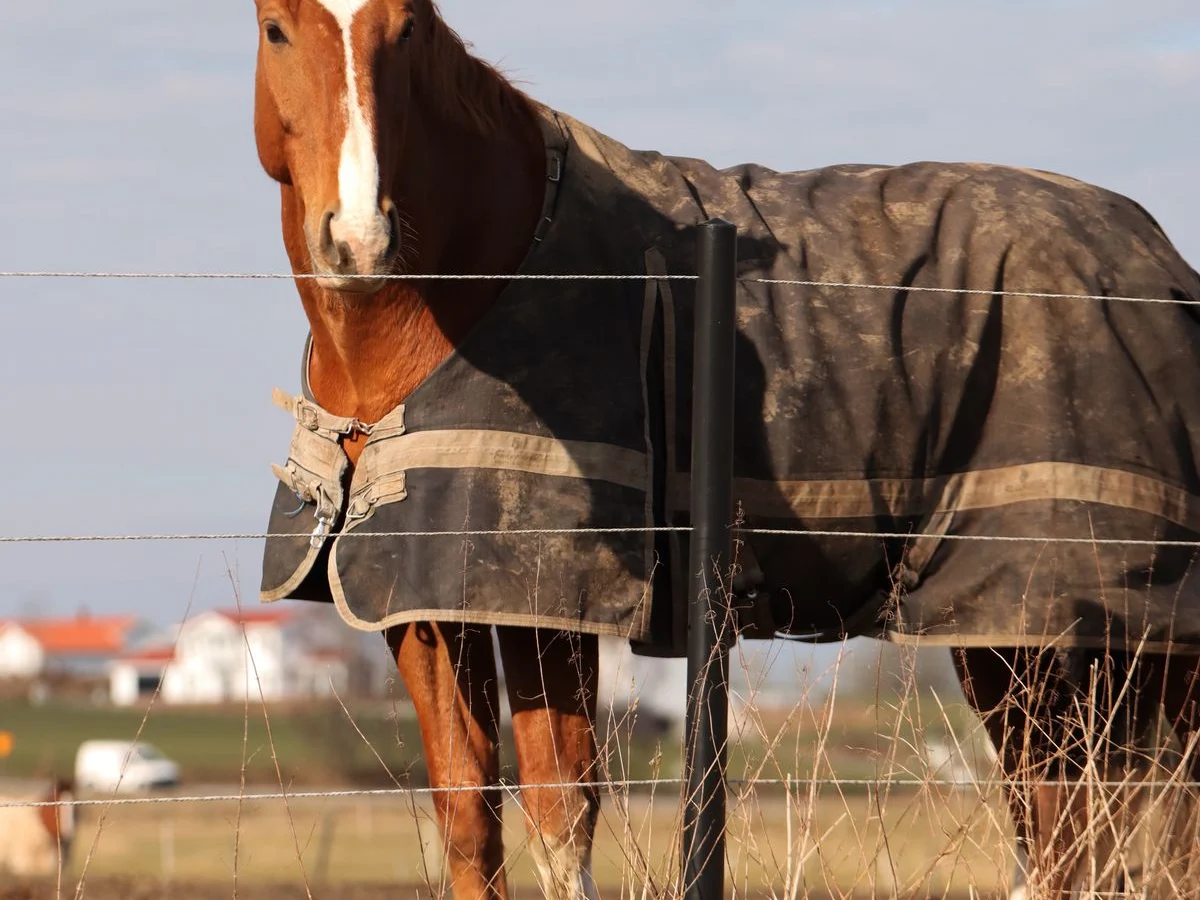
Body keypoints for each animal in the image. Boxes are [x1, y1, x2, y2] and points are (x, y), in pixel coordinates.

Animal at [250, 1, 1200, 897]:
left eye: (408, 28)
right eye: (275, 30)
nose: (359, 239)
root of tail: (1160, 262)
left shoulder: (547, 607)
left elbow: (561, 819)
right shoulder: (418, 604)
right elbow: (468, 822)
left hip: (1065, 628)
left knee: (1076, 834)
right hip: (1028, 640)